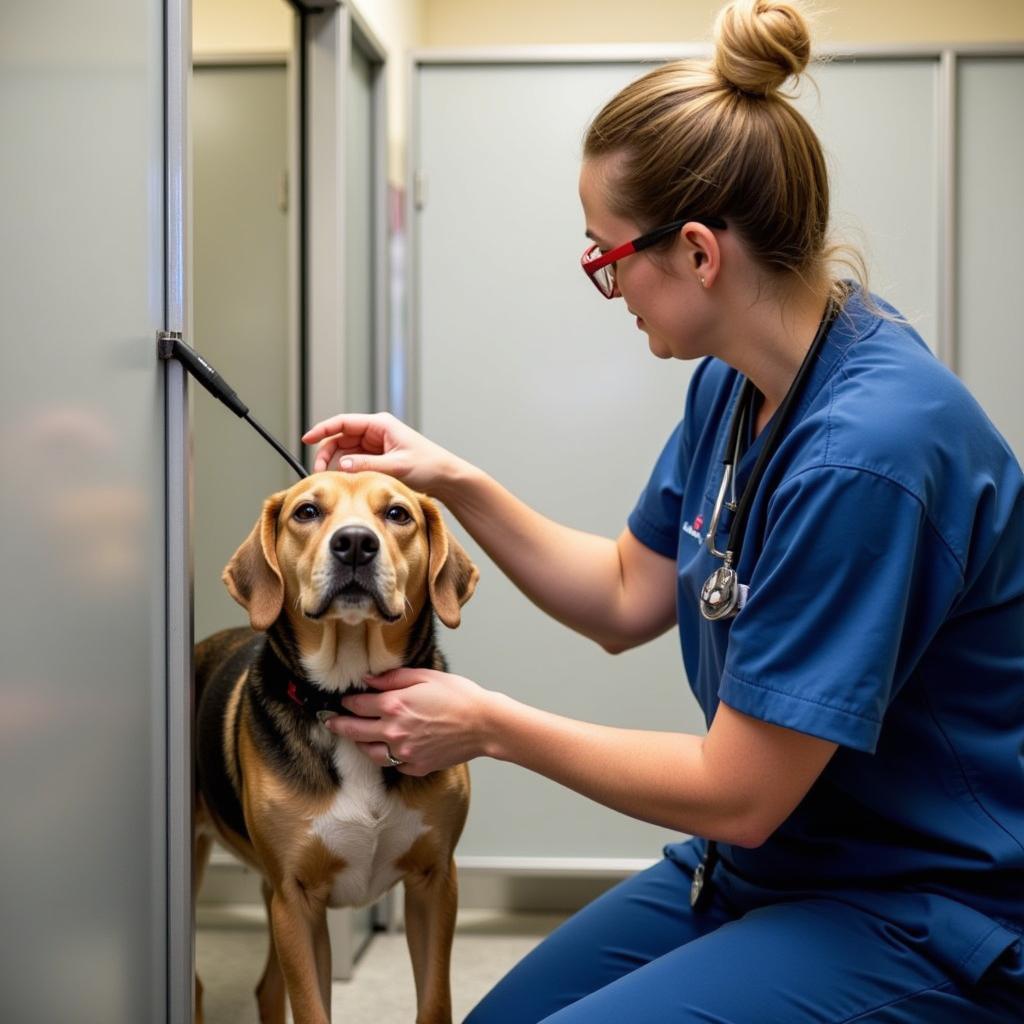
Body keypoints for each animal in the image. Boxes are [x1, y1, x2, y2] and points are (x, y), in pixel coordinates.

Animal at [192, 471, 479, 1024]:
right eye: (306, 512)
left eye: (397, 514)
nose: (355, 544)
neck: (347, 694)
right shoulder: (296, 901)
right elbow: (310, 1007)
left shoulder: (434, 883)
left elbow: (434, 1002)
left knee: (265, 989)